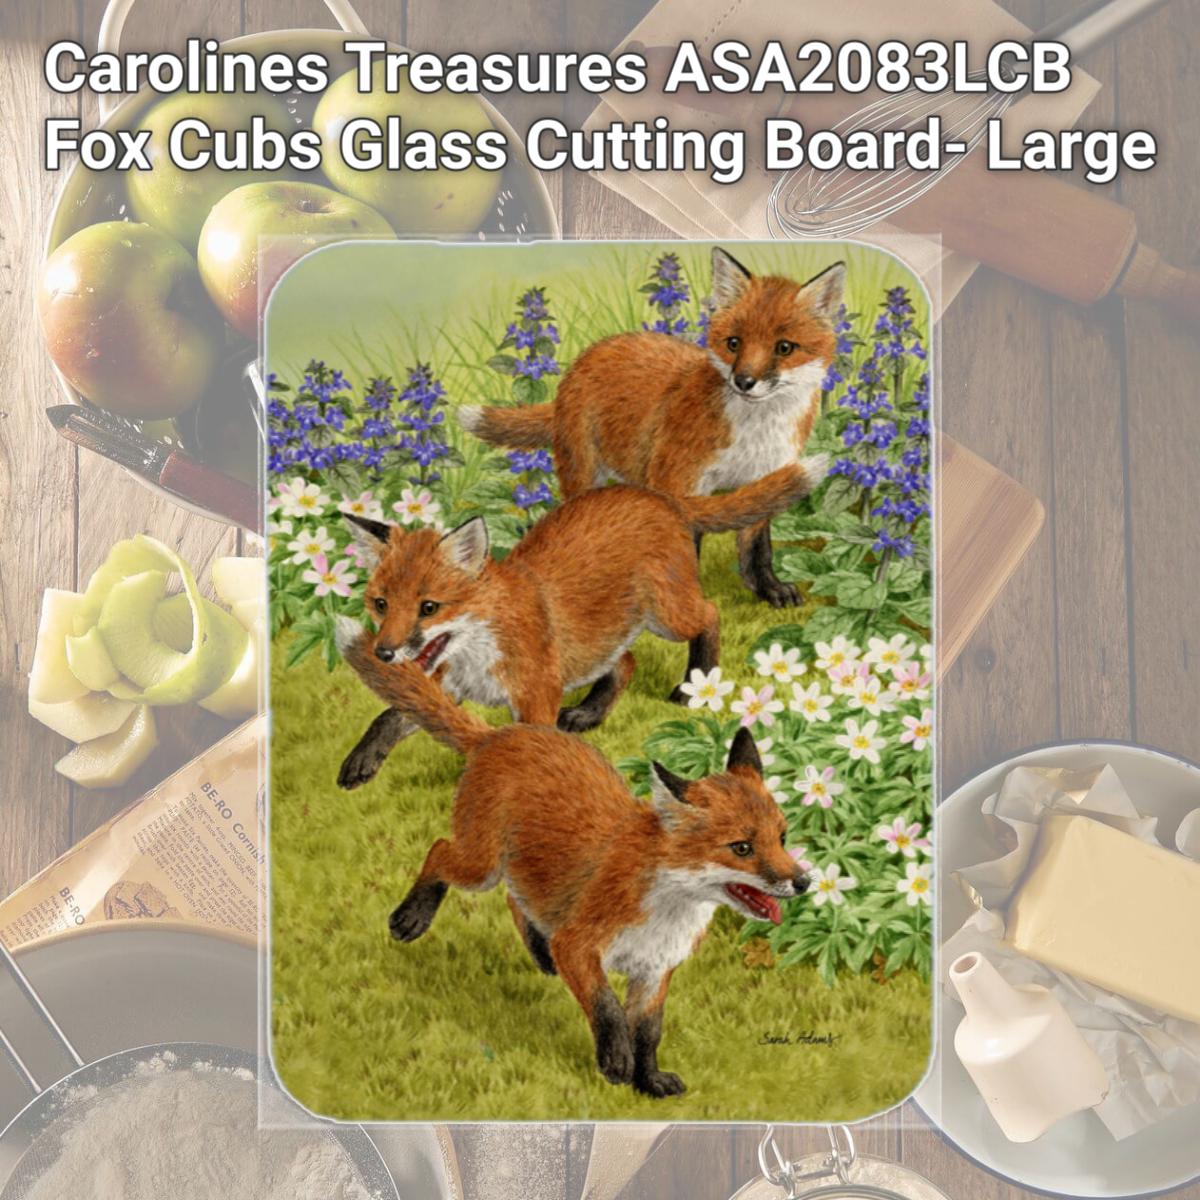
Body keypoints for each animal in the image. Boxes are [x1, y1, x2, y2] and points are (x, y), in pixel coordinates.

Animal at [335, 623, 809, 1097]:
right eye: (742, 848)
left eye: (782, 838)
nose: (803, 881)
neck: (668, 906)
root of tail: (500, 736)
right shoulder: (580, 946)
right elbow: (607, 1007)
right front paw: (616, 1061)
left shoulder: (654, 971)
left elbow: (649, 1033)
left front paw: (648, 1079)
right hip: (480, 866)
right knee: (439, 851)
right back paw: (411, 917)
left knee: (516, 899)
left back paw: (538, 953)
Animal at [336, 474, 825, 789]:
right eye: (380, 604)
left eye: (429, 608)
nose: (383, 653)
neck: (477, 652)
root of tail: (655, 496)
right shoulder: (449, 687)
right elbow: (390, 716)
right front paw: (360, 763)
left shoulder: (536, 695)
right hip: (605, 639)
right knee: (626, 662)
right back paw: (589, 714)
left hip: (668, 615)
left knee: (709, 616)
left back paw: (693, 684)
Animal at [459, 247, 845, 608]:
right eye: (734, 343)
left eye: (784, 348)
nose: (744, 381)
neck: (755, 432)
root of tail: (592, 351)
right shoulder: (675, 480)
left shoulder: (765, 478)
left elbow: (757, 550)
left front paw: (769, 590)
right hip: (585, 471)